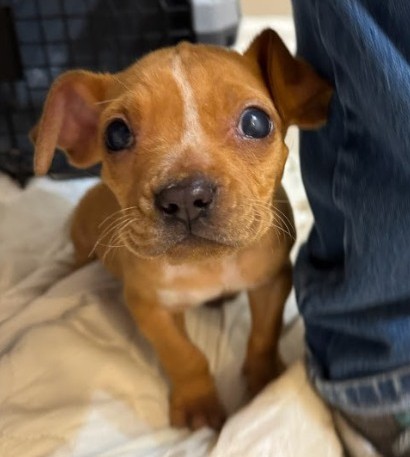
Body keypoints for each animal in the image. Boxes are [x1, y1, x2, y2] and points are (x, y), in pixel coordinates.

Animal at [31, 29, 332, 431]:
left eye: (255, 123)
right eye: (115, 134)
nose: (186, 196)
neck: (207, 267)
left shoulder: (271, 282)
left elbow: (263, 335)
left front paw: (265, 379)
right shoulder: (149, 306)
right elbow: (184, 355)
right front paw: (198, 403)